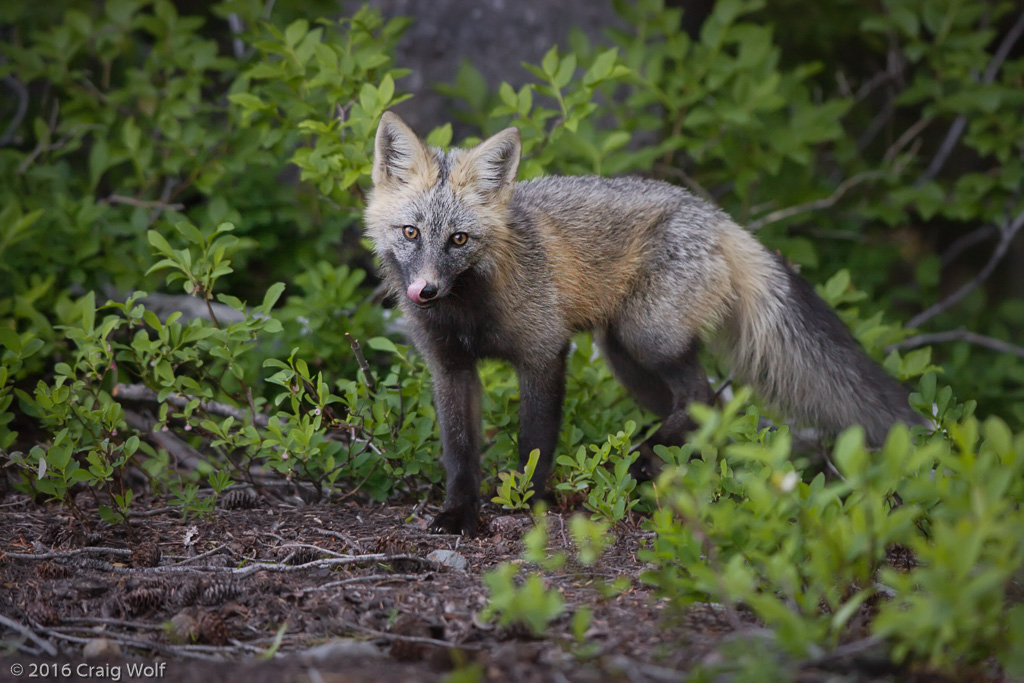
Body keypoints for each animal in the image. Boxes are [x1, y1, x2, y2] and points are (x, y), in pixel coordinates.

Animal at [368, 112, 929, 536]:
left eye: (459, 240)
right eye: (411, 232)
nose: (424, 292)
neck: (469, 310)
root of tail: (716, 216)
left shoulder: (544, 352)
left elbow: (535, 443)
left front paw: (529, 500)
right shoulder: (450, 366)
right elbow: (459, 450)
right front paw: (459, 512)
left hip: (647, 339)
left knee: (702, 397)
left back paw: (642, 460)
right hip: (625, 356)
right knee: (707, 410)